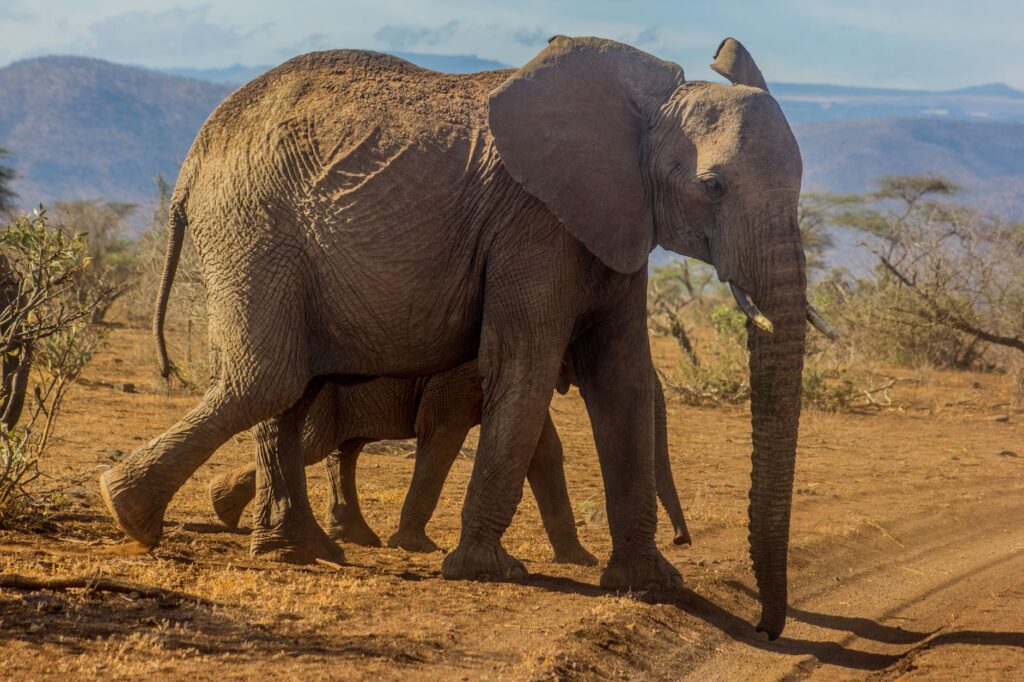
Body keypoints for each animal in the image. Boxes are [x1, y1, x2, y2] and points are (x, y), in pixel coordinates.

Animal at [206, 359, 692, 563]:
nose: (681, 540)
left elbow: (544, 450)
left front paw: (580, 560)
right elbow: (443, 434)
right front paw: (416, 546)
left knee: (342, 449)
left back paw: (355, 536)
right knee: (315, 446)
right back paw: (221, 506)